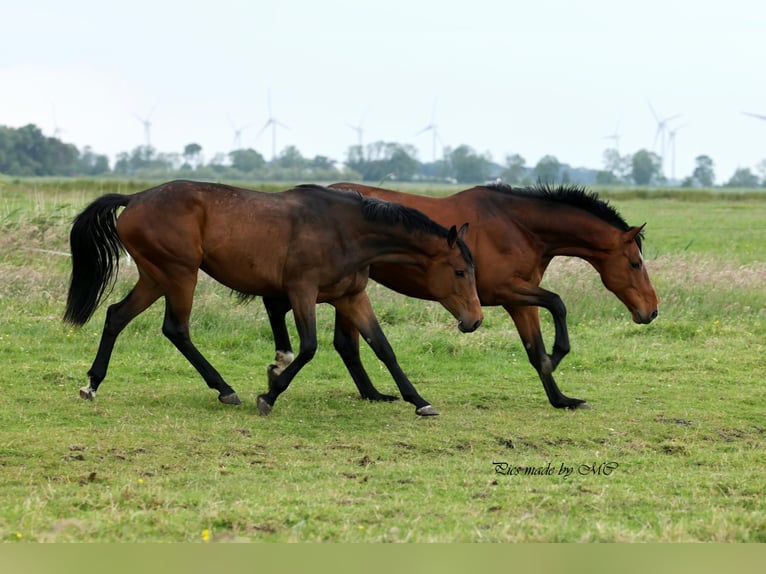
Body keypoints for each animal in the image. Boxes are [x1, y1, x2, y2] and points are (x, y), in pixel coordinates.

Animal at [67, 181, 486, 418]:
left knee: (116, 315)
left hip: (156, 277)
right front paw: (269, 394)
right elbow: (309, 347)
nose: (475, 320)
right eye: (459, 272)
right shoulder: (302, 291)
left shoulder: (351, 297)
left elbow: (383, 348)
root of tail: (135, 198)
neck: (346, 230)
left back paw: (92, 384)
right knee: (176, 329)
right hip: (180, 274)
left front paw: (419, 401)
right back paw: (225, 390)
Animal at [266, 182, 660, 412]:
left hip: (349, 290)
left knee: (347, 344)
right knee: (346, 343)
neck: (518, 226)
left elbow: (535, 349)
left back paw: (374, 394)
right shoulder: (507, 293)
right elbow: (558, 305)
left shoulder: (519, 300)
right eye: (635, 262)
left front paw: (561, 398)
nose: (652, 311)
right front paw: (558, 357)